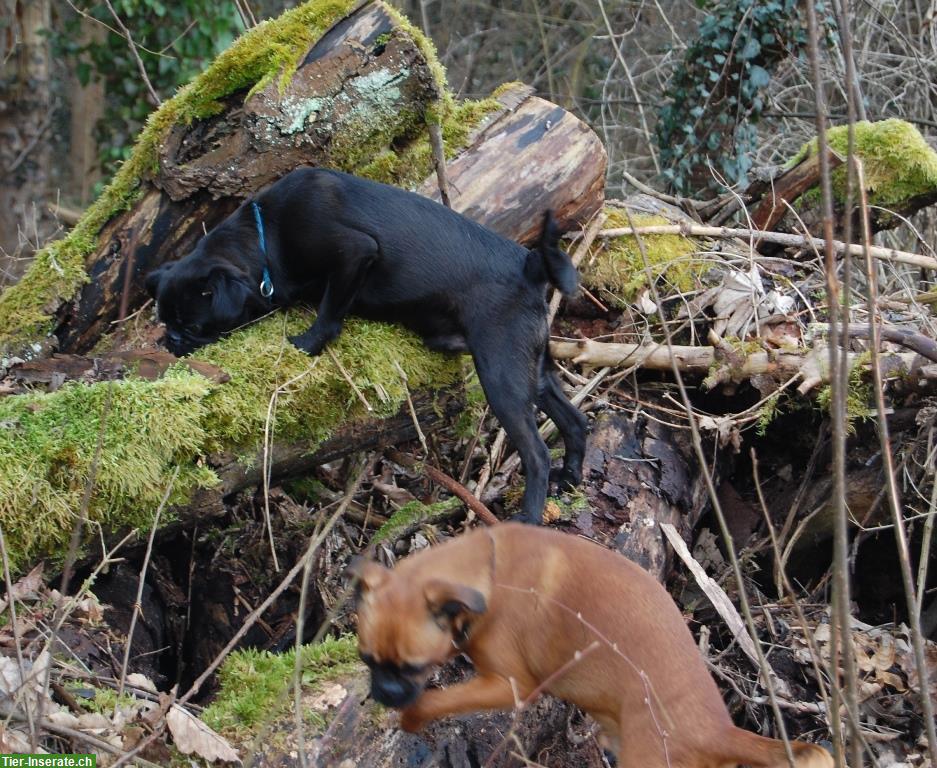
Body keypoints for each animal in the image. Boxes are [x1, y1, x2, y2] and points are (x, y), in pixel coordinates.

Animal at [146, 168, 584, 524]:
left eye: (193, 325)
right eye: (167, 322)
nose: (172, 341)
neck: (266, 234)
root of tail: (530, 269)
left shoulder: (353, 253)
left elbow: (329, 311)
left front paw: (308, 343)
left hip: (501, 375)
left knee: (537, 453)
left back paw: (529, 517)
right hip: (534, 371)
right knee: (576, 422)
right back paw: (571, 477)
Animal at [352, 520, 832, 768]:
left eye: (414, 667)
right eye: (367, 660)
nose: (384, 693)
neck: (489, 572)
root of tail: (720, 732)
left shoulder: (509, 687)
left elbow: (437, 700)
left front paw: (411, 717)